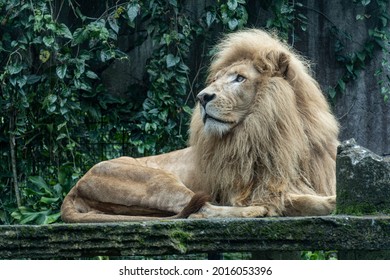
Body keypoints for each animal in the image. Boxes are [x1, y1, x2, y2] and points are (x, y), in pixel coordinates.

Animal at [60, 29, 338, 223]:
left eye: (240, 78)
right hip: (156, 181)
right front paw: (328, 202)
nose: (202, 97)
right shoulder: (254, 189)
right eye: (216, 80)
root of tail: (76, 185)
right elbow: (308, 201)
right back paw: (257, 211)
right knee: (200, 210)